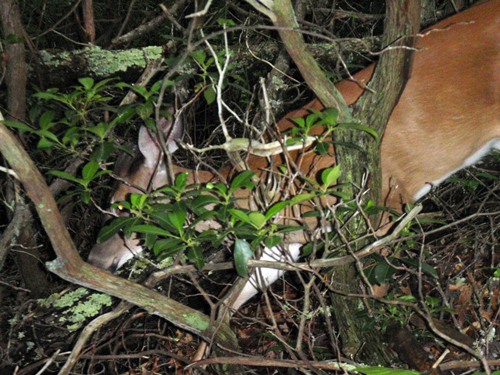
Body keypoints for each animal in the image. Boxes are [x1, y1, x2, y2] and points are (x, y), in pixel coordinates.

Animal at [90, 0, 500, 312]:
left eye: (120, 205)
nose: (95, 260)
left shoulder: (384, 202)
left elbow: (375, 288)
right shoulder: (286, 239)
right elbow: (227, 303)